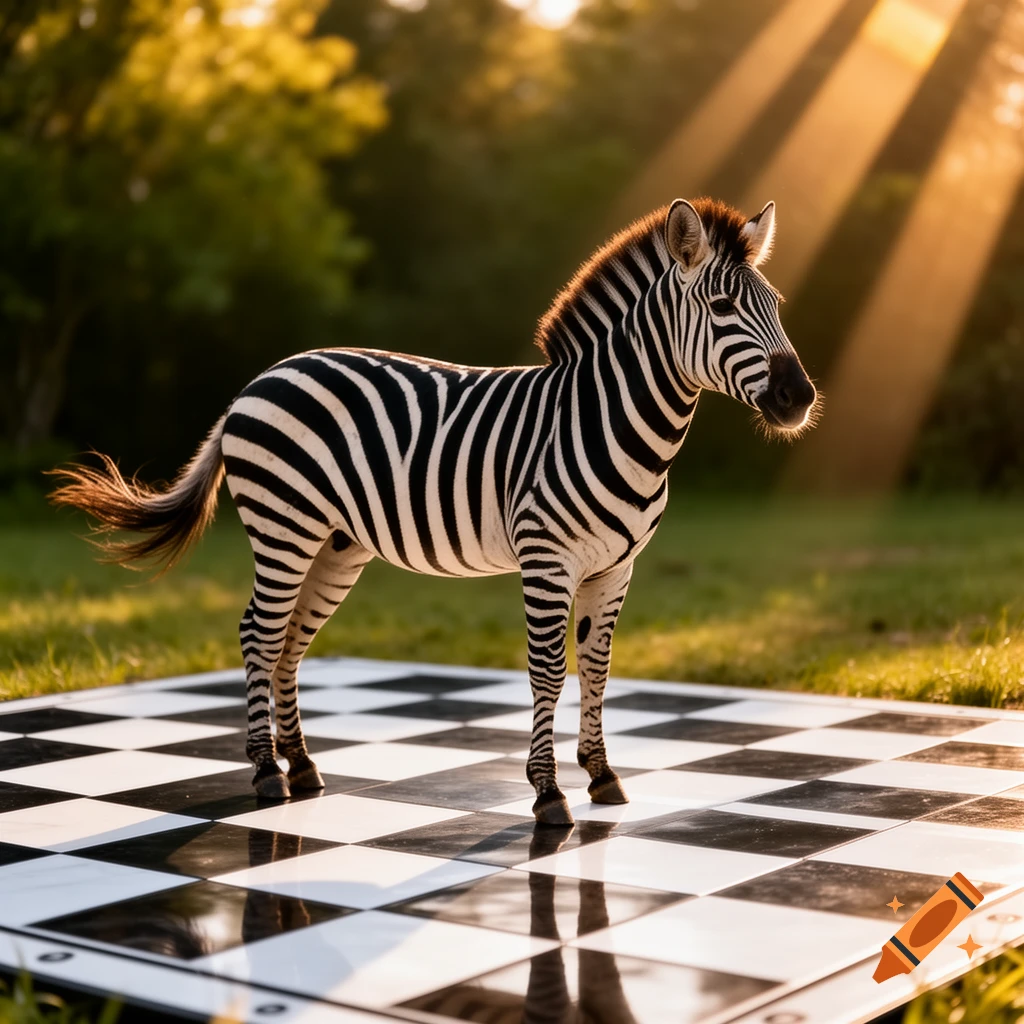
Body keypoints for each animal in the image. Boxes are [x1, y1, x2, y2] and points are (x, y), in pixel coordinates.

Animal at [50, 197, 817, 825]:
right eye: (722, 309)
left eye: (777, 307)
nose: (800, 398)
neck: (606, 421)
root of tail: (263, 378)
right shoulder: (547, 560)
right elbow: (549, 670)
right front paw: (548, 794)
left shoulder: (616, 568)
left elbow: (598, 669)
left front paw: (601, 776)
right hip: (283, 527)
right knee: (259, 635)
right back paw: (266, 772)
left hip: (336, 545)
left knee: (292, 640)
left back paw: (302, 766)